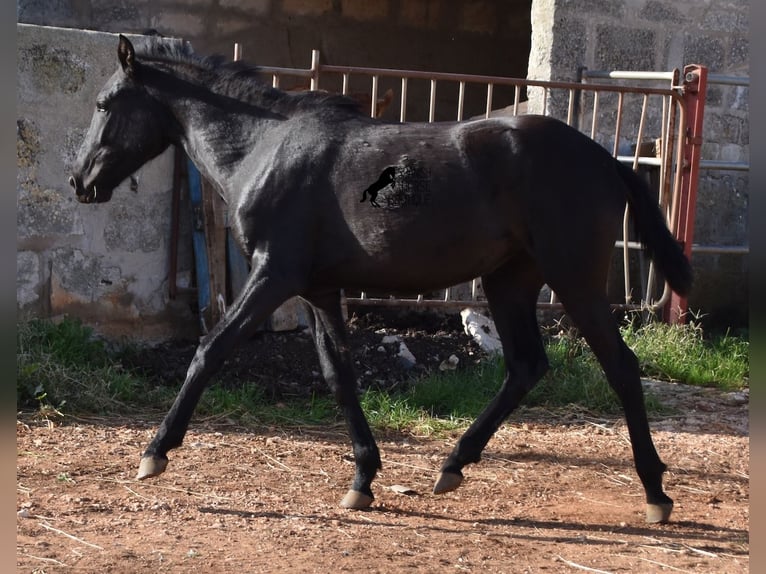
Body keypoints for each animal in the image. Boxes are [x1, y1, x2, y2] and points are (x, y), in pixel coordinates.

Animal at [72, 33, 696, 524]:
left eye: (105, 103)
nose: (80, 181)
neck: (263, 149)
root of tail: (606, 160)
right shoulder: (318, 289)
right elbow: (338, 372)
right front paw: (362, 480)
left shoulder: (274, 275)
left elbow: (210, 349)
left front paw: (155, 453)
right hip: (508, 281)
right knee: (526, 366)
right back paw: (452, 466)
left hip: (574, 279)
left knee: (620, 366)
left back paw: (656, 493)